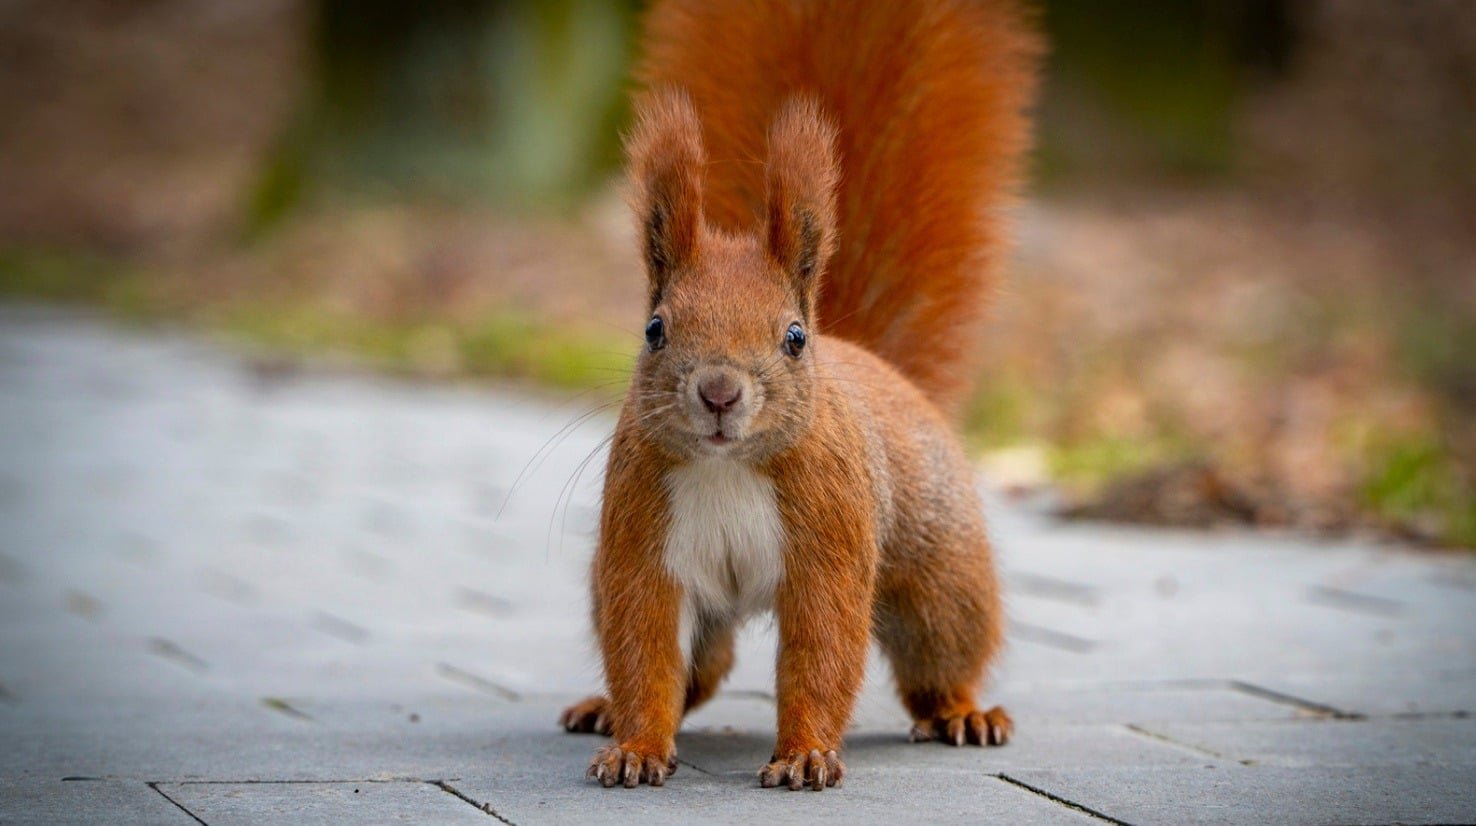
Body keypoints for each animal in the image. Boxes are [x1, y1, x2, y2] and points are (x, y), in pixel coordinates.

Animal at [559, 0, 1040, 791]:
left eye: (792, 337)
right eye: (655, 329)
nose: (720, 391)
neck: (727, 467)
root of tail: (874, 360)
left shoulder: (830, 539)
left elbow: (822, 649)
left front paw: (806, 754)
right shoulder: (642, 542)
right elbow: (645, 648)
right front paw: (636, 747)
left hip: (942, 576)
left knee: (940, 655)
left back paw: (964, 713)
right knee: (700, 669)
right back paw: (603, 709)